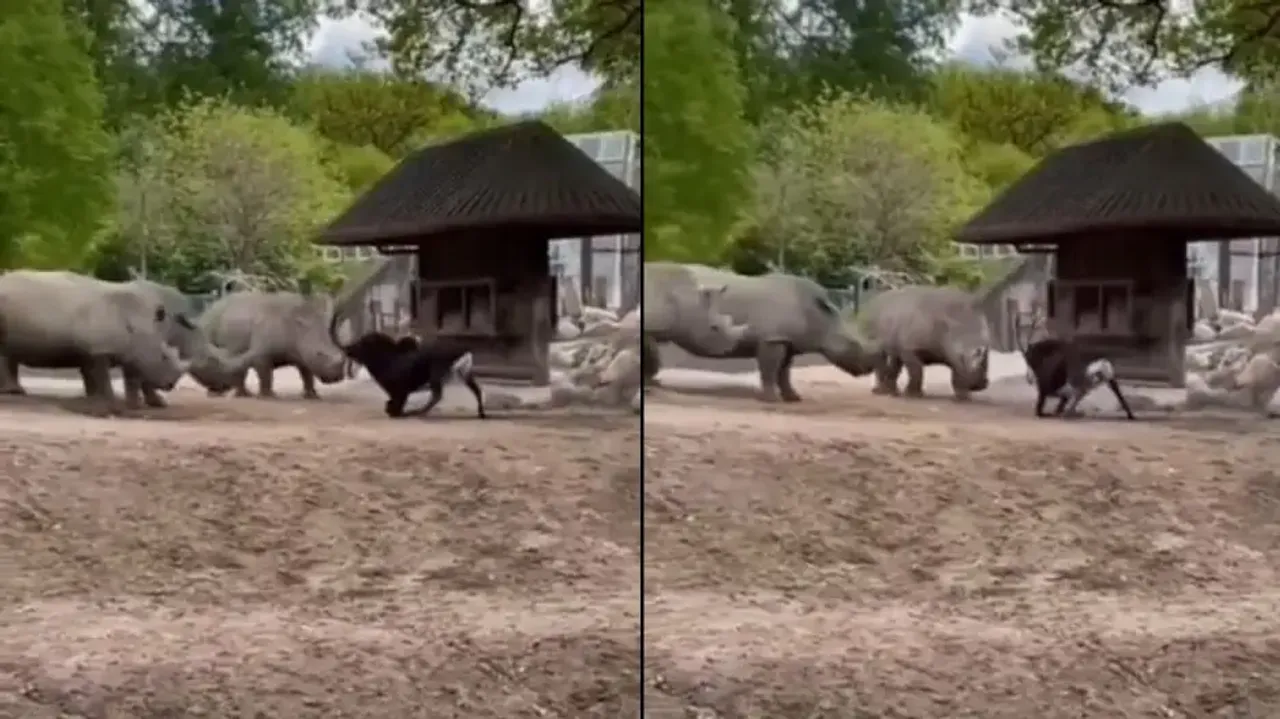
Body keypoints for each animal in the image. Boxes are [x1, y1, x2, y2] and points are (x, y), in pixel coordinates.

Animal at [0, 270, 190, 413]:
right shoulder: (99, 349)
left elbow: (91, 375)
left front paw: (93, 398)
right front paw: (108, 401)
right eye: (163, 357)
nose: (170, 385)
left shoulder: (96, 350)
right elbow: (101, 375)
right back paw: (14, 393)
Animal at [198, 290, 348, 399]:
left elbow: (307, 374)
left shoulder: (301, 351)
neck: (297, 328)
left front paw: (312, 396)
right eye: (319, 354)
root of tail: (210, 308)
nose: (337, 378)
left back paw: (239, 394)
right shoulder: (261, 354)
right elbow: (266, 375)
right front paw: (268, 396)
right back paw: (227, 395)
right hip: (210, 322)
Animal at [329, 317, 485, 419]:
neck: (388, 360)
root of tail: (461, 350)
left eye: (363, 343)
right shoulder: (398, 392)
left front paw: (397, 412)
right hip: (464, 374)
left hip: (436, 373)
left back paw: (417, 412)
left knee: (437, 395)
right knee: (476, 390)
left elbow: (394, 406)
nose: (349, 351)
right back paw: (481, 413)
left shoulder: (399, 391)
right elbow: (391, 405)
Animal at [679, 265, 879, 403]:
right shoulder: (772, 338)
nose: (869, 368)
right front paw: (772, 400)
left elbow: (784, 373)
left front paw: (793, 398)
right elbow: (770, 370)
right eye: (852, 343)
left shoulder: (787, 340)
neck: (819, 317)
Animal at [859, 285, 992, 401]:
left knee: (894, 358)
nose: (982, 385)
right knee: (880, 355)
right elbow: (916, 371)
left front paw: (963, 398)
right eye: (976, 354)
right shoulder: (910, 348)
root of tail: (871, 302)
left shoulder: (951, 351)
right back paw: (882, 392)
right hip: (871, 321)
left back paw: (890, 392)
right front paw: (913, 396)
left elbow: (957, 373)